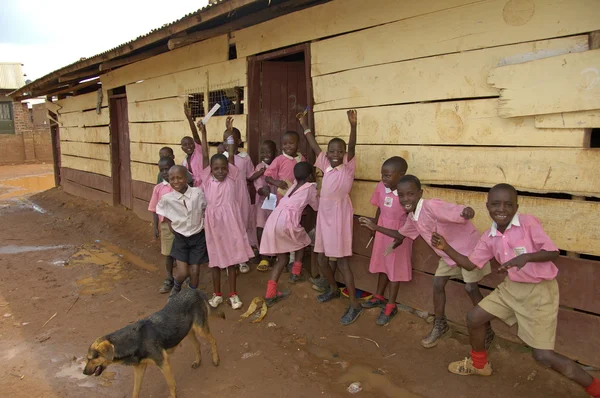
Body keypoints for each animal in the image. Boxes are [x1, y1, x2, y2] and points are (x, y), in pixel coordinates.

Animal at [84, 290, 223, 398]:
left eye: (90, 359)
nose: (84, 373)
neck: (133, 341)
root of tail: (196, 291)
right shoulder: (139, 368)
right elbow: (135, 390)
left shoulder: (163, 363)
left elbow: (171, 384)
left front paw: (173, 396)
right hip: (188, 331)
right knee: (198, 344)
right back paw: (198, 361)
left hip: (200, 329)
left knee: (213, 340)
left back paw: (216, 359)